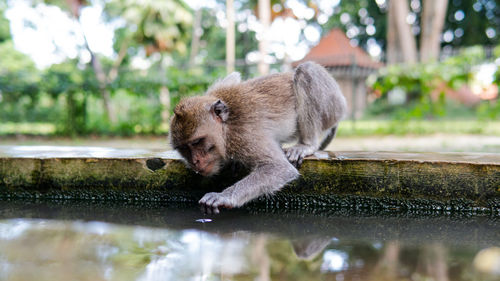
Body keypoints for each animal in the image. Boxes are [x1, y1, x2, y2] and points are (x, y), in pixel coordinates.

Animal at [170, 61, 346, 212]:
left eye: (197, 142)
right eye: (184, 148)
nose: (195, 161)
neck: (226, 128)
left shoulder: (244, 136)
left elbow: (279, 168)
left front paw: (224, 196)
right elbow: (234, 76)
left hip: (333, 106)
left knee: (306, 70)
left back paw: (307, 145)